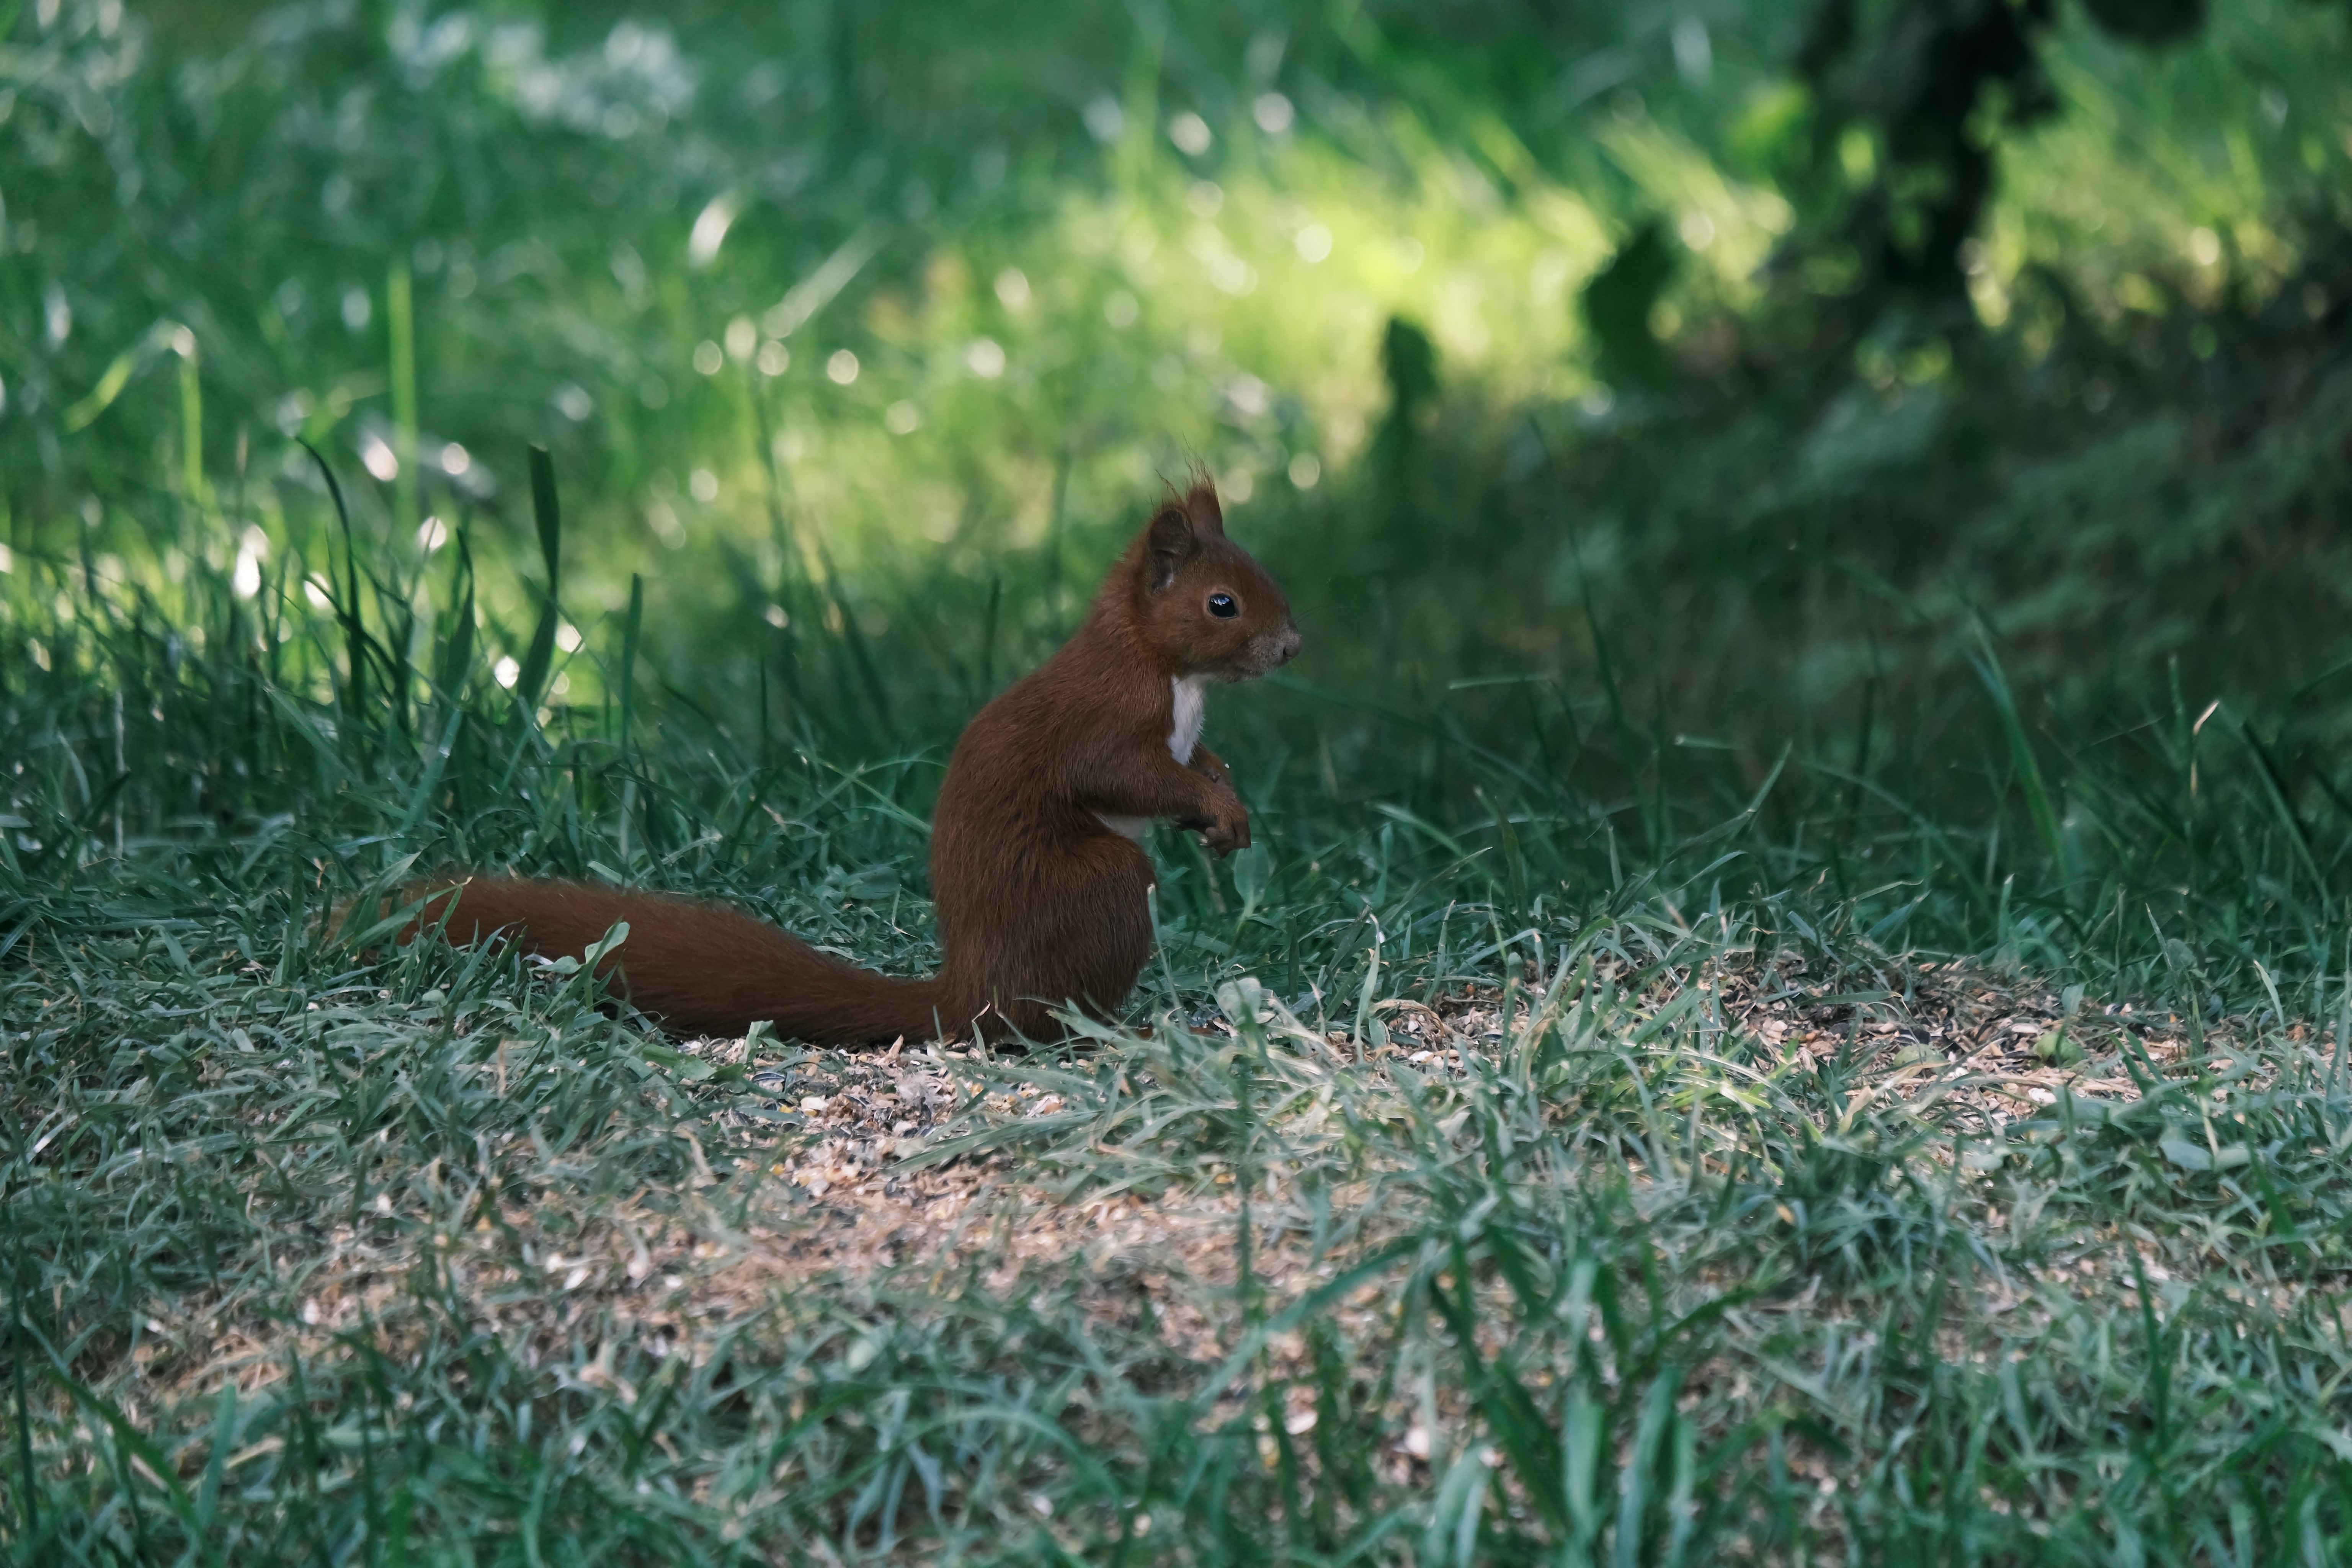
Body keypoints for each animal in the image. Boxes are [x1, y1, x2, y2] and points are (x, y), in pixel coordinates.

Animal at [402, 479, 1298, 1044]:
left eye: (1266, 576)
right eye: (1222, 603)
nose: (1292, 646)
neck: (1163, 667)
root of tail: (971, 994)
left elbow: (1198, 762)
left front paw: (1224, 801)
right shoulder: (1104, 722)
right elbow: (1129, 776)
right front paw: (1219, 809)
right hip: (1100, 886)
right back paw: (1111, 1026)